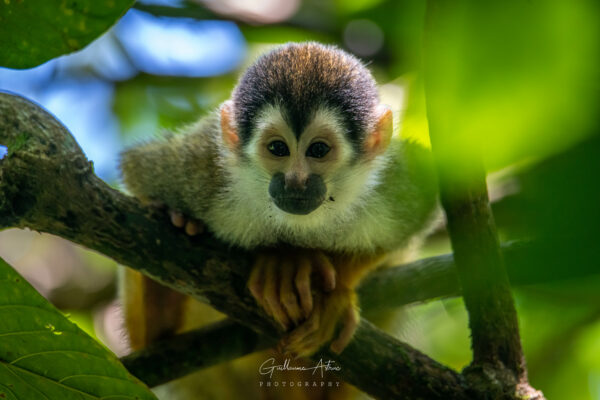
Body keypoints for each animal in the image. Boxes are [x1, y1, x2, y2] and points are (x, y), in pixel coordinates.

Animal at [118, 43, 436, 362]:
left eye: (318, 150)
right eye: (277, 148)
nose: (295, 181)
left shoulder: (393, 187)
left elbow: (421, 213)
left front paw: (333, 291)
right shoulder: (200, 172)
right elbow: (137, 170)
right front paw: (285, 259)